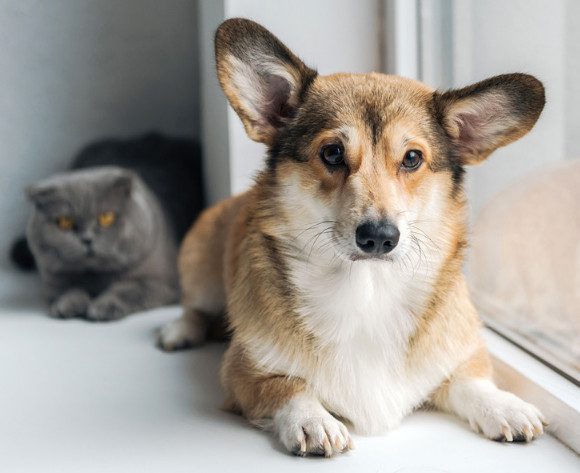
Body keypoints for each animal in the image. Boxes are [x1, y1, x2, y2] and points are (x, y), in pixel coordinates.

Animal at [11, 132, 204, 321]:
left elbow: (131, 289)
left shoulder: (163, 282)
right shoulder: (52, 280)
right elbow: (67, 289)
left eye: (106, 217)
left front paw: (104, 307)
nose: (87, 239)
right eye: (64, 222)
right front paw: (67, 305)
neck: (97, 279)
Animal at [159, 18, 547, 457]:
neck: (367, 290)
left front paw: (505, 406)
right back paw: (179, 331)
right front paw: (313, 421)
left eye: (412, 158)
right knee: (194, 306)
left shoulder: (463, 355)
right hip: (203, 270)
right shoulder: (243, 372)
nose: (379, 237)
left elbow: (472, 380)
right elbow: (288, 386)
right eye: (331, 153)